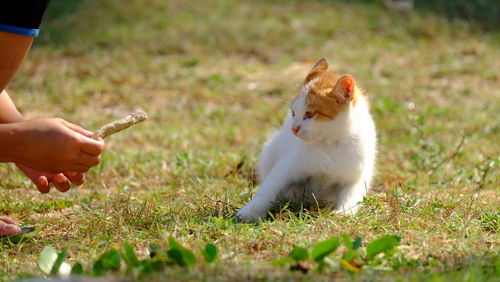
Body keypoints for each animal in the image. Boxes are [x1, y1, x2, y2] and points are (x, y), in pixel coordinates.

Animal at [236, 57, 376, 223]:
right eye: (293, 112)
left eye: (310, 114)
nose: (294, 129)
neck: (329, 143)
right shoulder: (286, 167)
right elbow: (269, 188)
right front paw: (250, 211)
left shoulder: (356, 176)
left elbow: (351, 194)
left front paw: (344, 213)